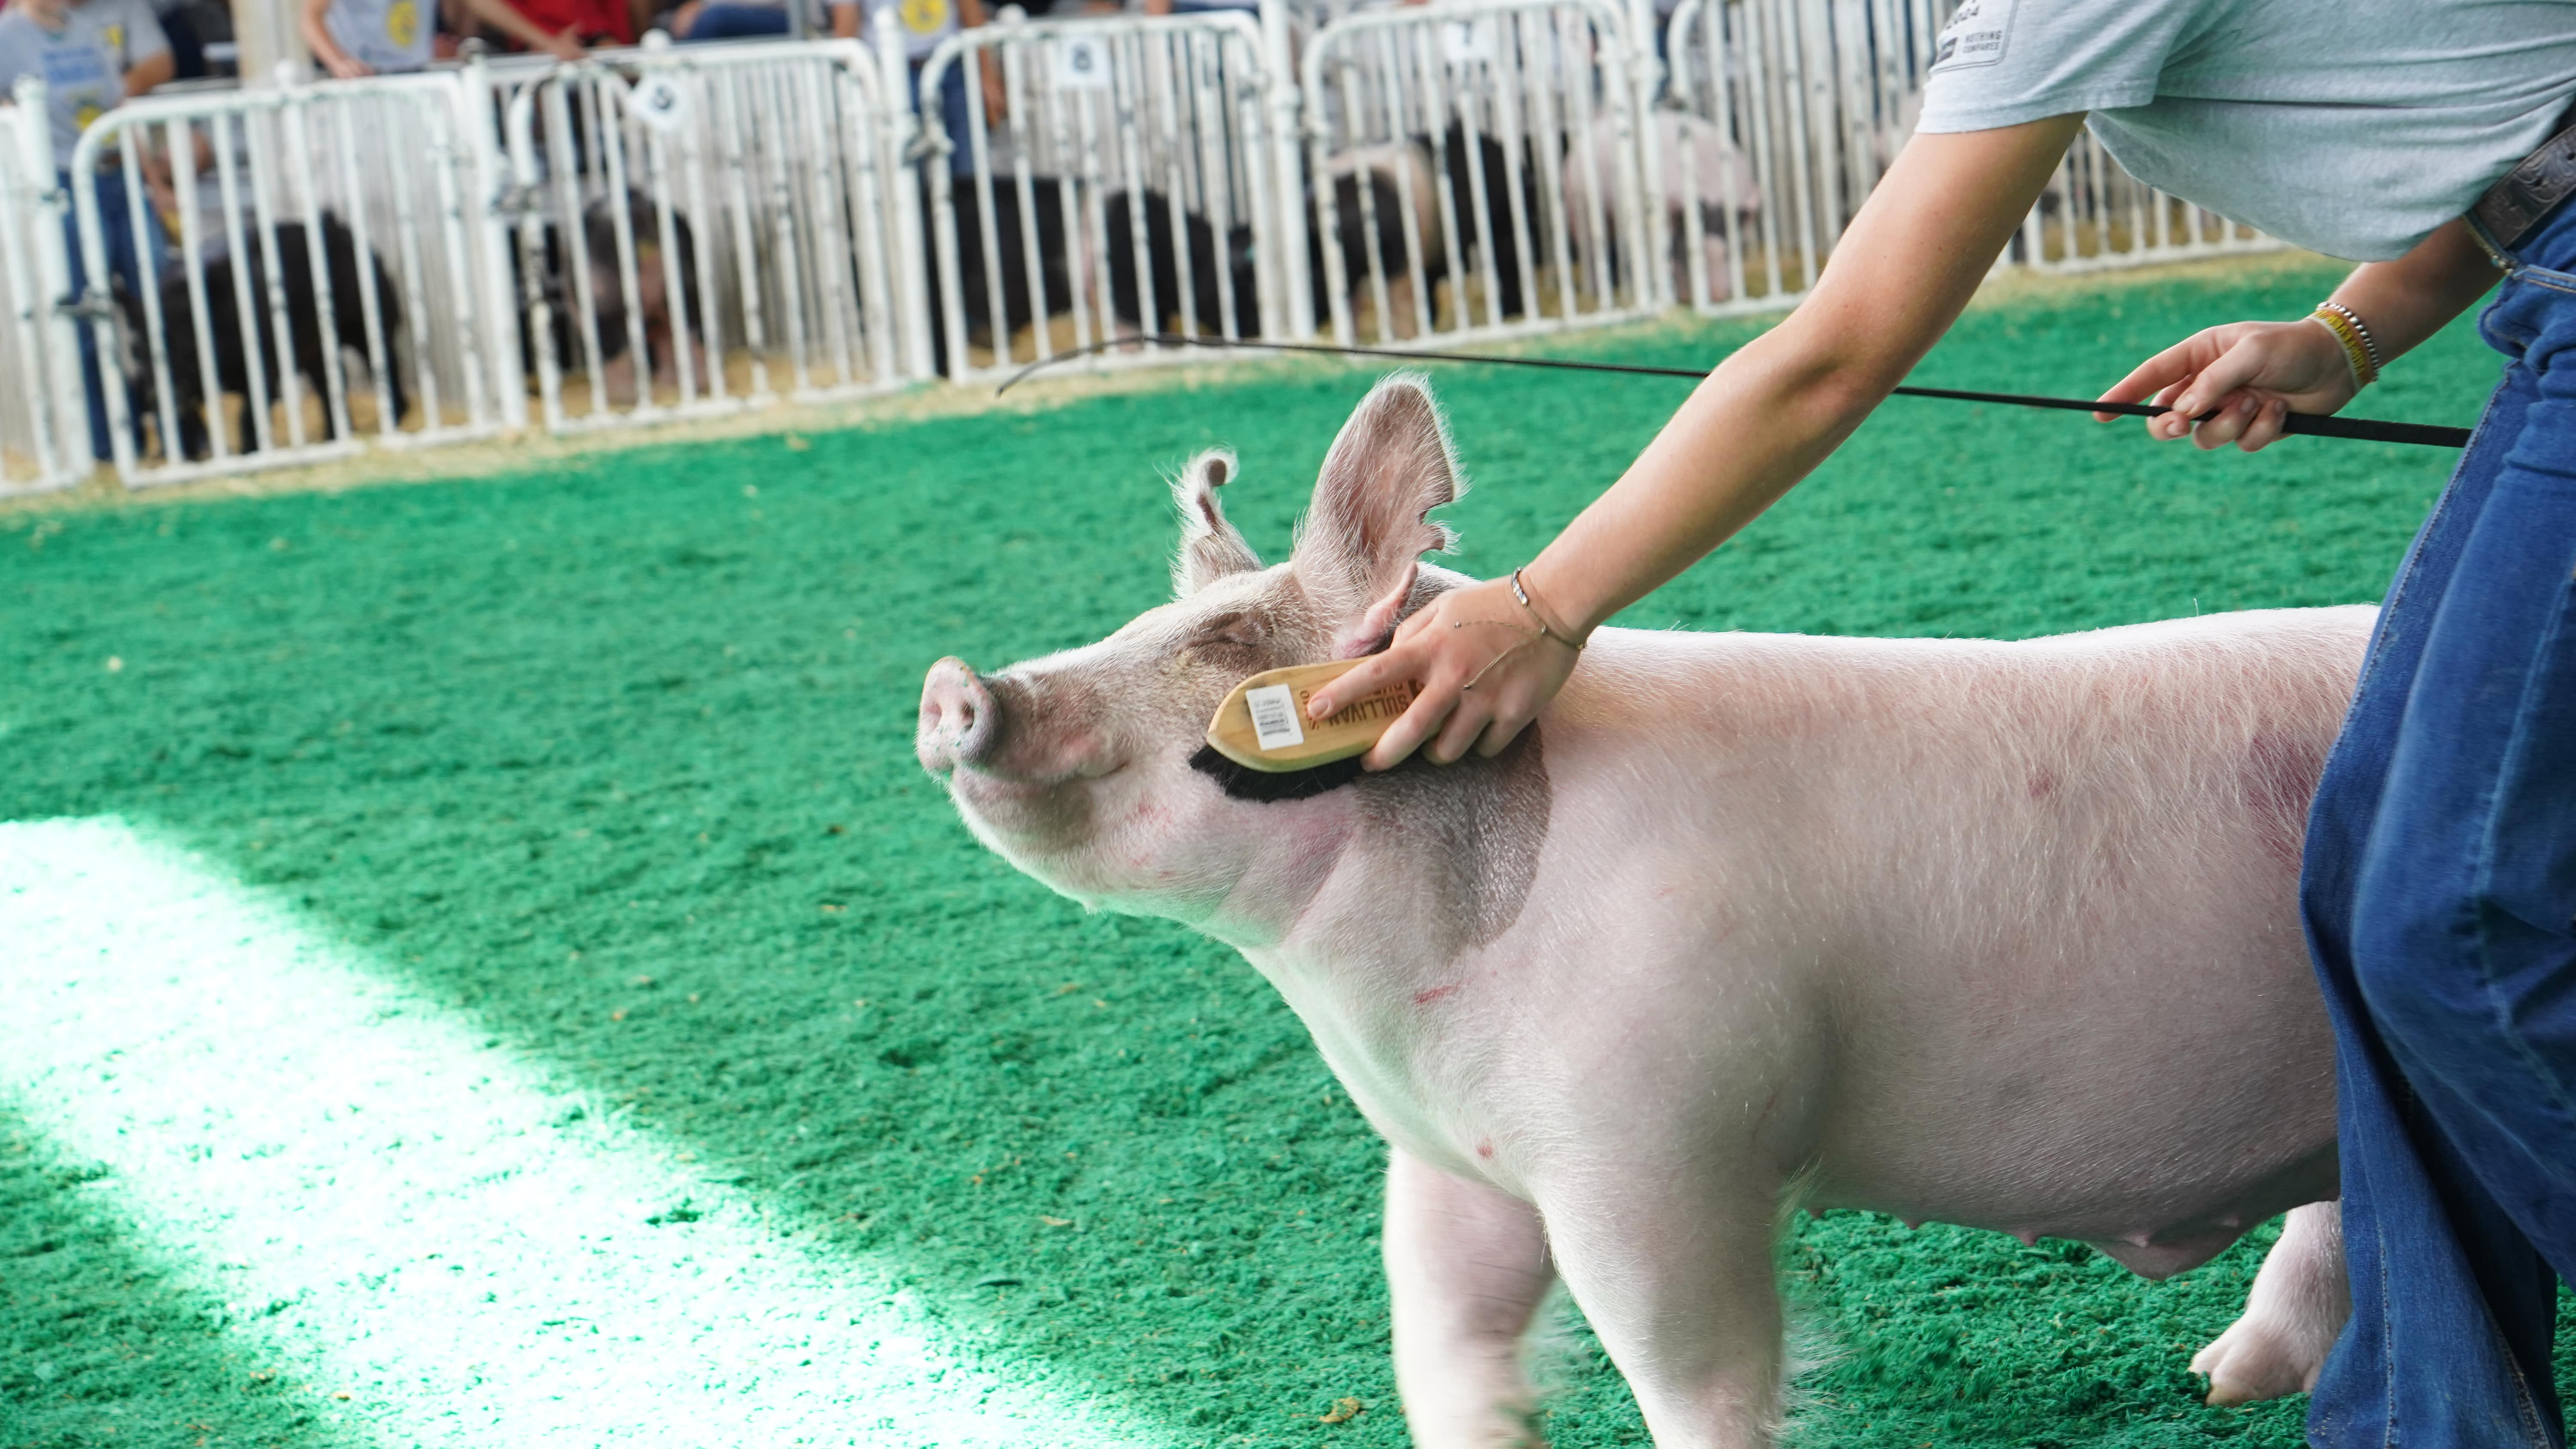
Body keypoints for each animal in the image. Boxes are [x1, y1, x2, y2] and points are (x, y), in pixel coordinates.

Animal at [917, 378, 2360, 1449]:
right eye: (1147, 619)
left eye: (1222, 650)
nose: (954, 682)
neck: (1379, 1007)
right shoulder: (1450, 1158)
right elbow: (1438, 1336)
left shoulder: (1665, 1153)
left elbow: (1692, 1373)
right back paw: (2219, 1379)